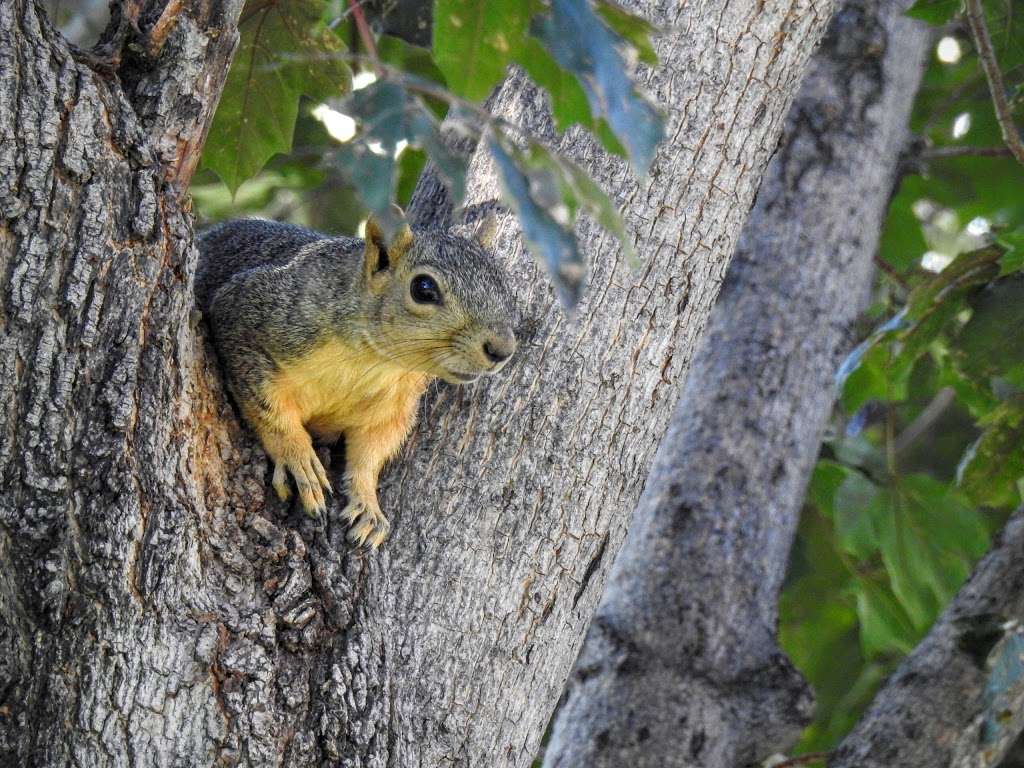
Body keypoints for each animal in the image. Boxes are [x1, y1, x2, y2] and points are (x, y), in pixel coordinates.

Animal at [197, 214, 520, 548]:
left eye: (506, 288)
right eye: (424, 288)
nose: (502, 350)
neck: (373, 362)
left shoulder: (394, 406)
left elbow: (372, 450)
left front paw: (368, 503)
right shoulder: (251, 317)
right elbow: (269, 411)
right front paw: (298, 460)